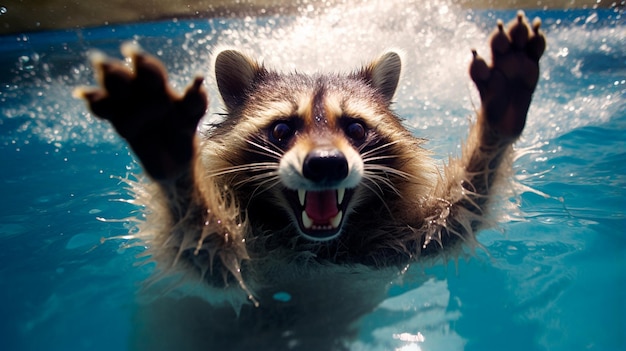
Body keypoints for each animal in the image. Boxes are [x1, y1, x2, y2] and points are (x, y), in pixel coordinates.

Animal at [75, 11, 544, 351]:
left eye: (355, 128)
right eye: (283, 129)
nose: (325, 165)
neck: (317, 246)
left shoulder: (385, 247)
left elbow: (454, 218)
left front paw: (496, 122)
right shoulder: (253, 259)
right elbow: (204, 249)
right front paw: (172, 158)